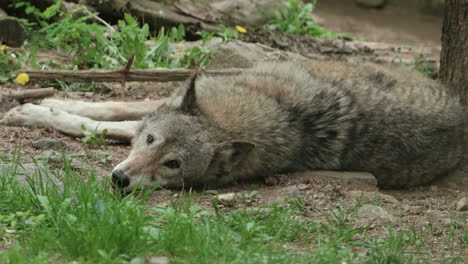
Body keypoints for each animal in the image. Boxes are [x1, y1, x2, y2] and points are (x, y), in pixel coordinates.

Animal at [110, 59, 464, 192]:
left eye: (173, 164)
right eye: (151, 140)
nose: (119, 178)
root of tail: (461, 112)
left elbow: (123, 120)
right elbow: (121, 110)